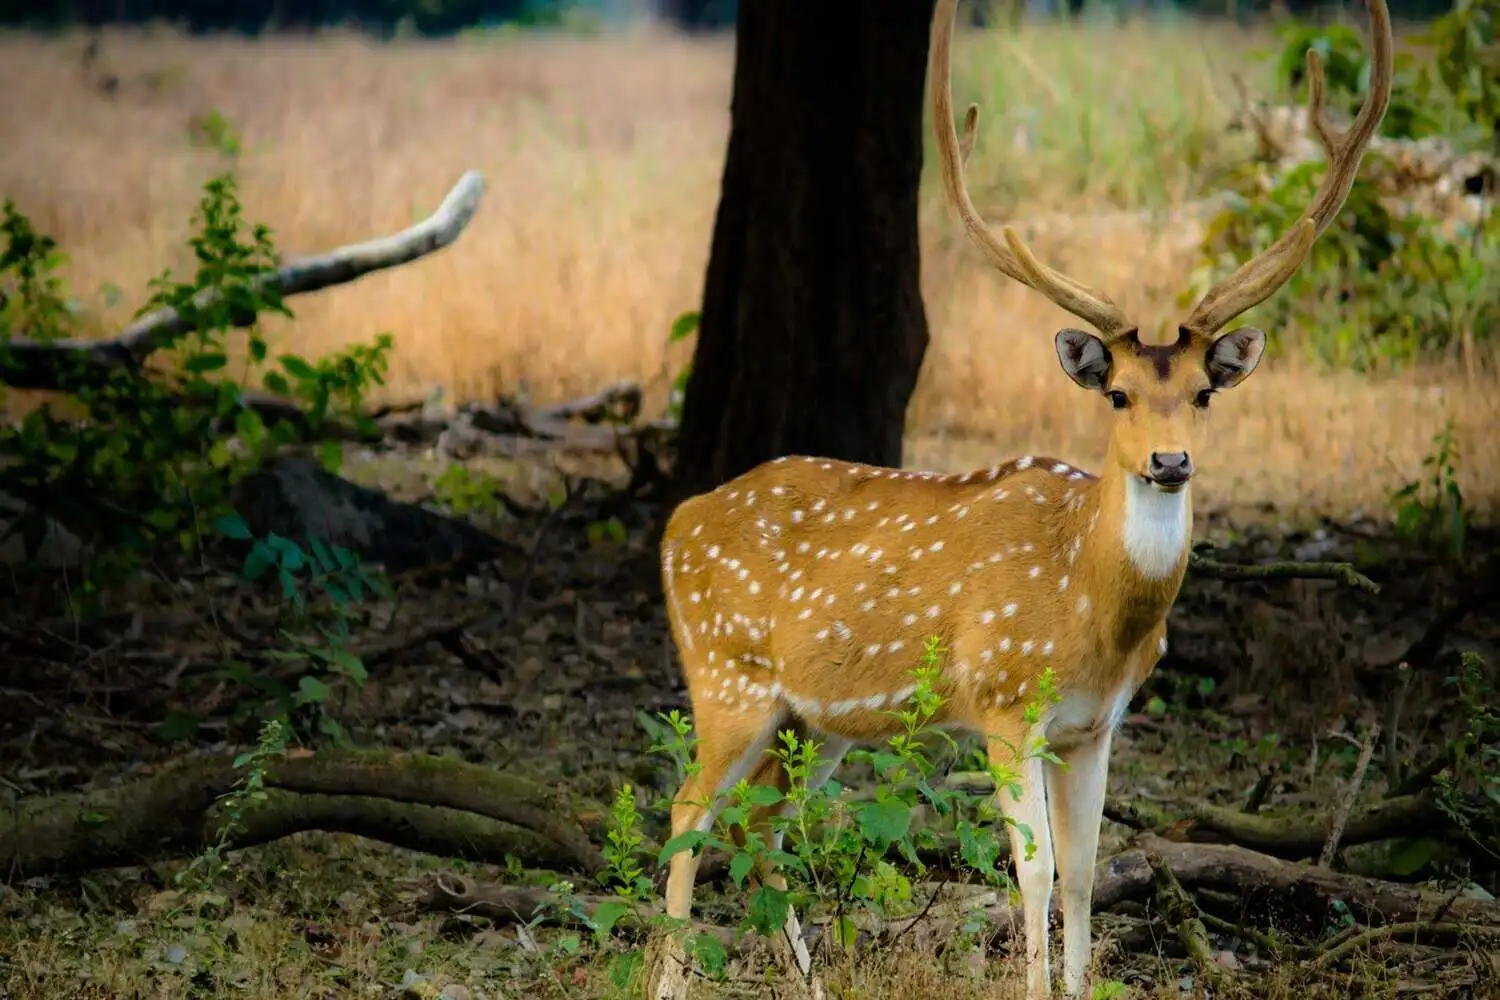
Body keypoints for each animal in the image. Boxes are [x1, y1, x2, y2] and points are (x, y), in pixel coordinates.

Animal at [648, 0, 1392, 995]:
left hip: (817, 718)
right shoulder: (1005, 700)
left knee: (762, 828)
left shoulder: (1097, 726)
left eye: (1205, 391)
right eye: (1117, 393)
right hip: (724, 674)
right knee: (686, 813)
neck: (1090, 610)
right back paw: (666, 974)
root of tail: (677, 521)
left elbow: (1083, 870)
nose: (1169, 460)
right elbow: (1032, 872)